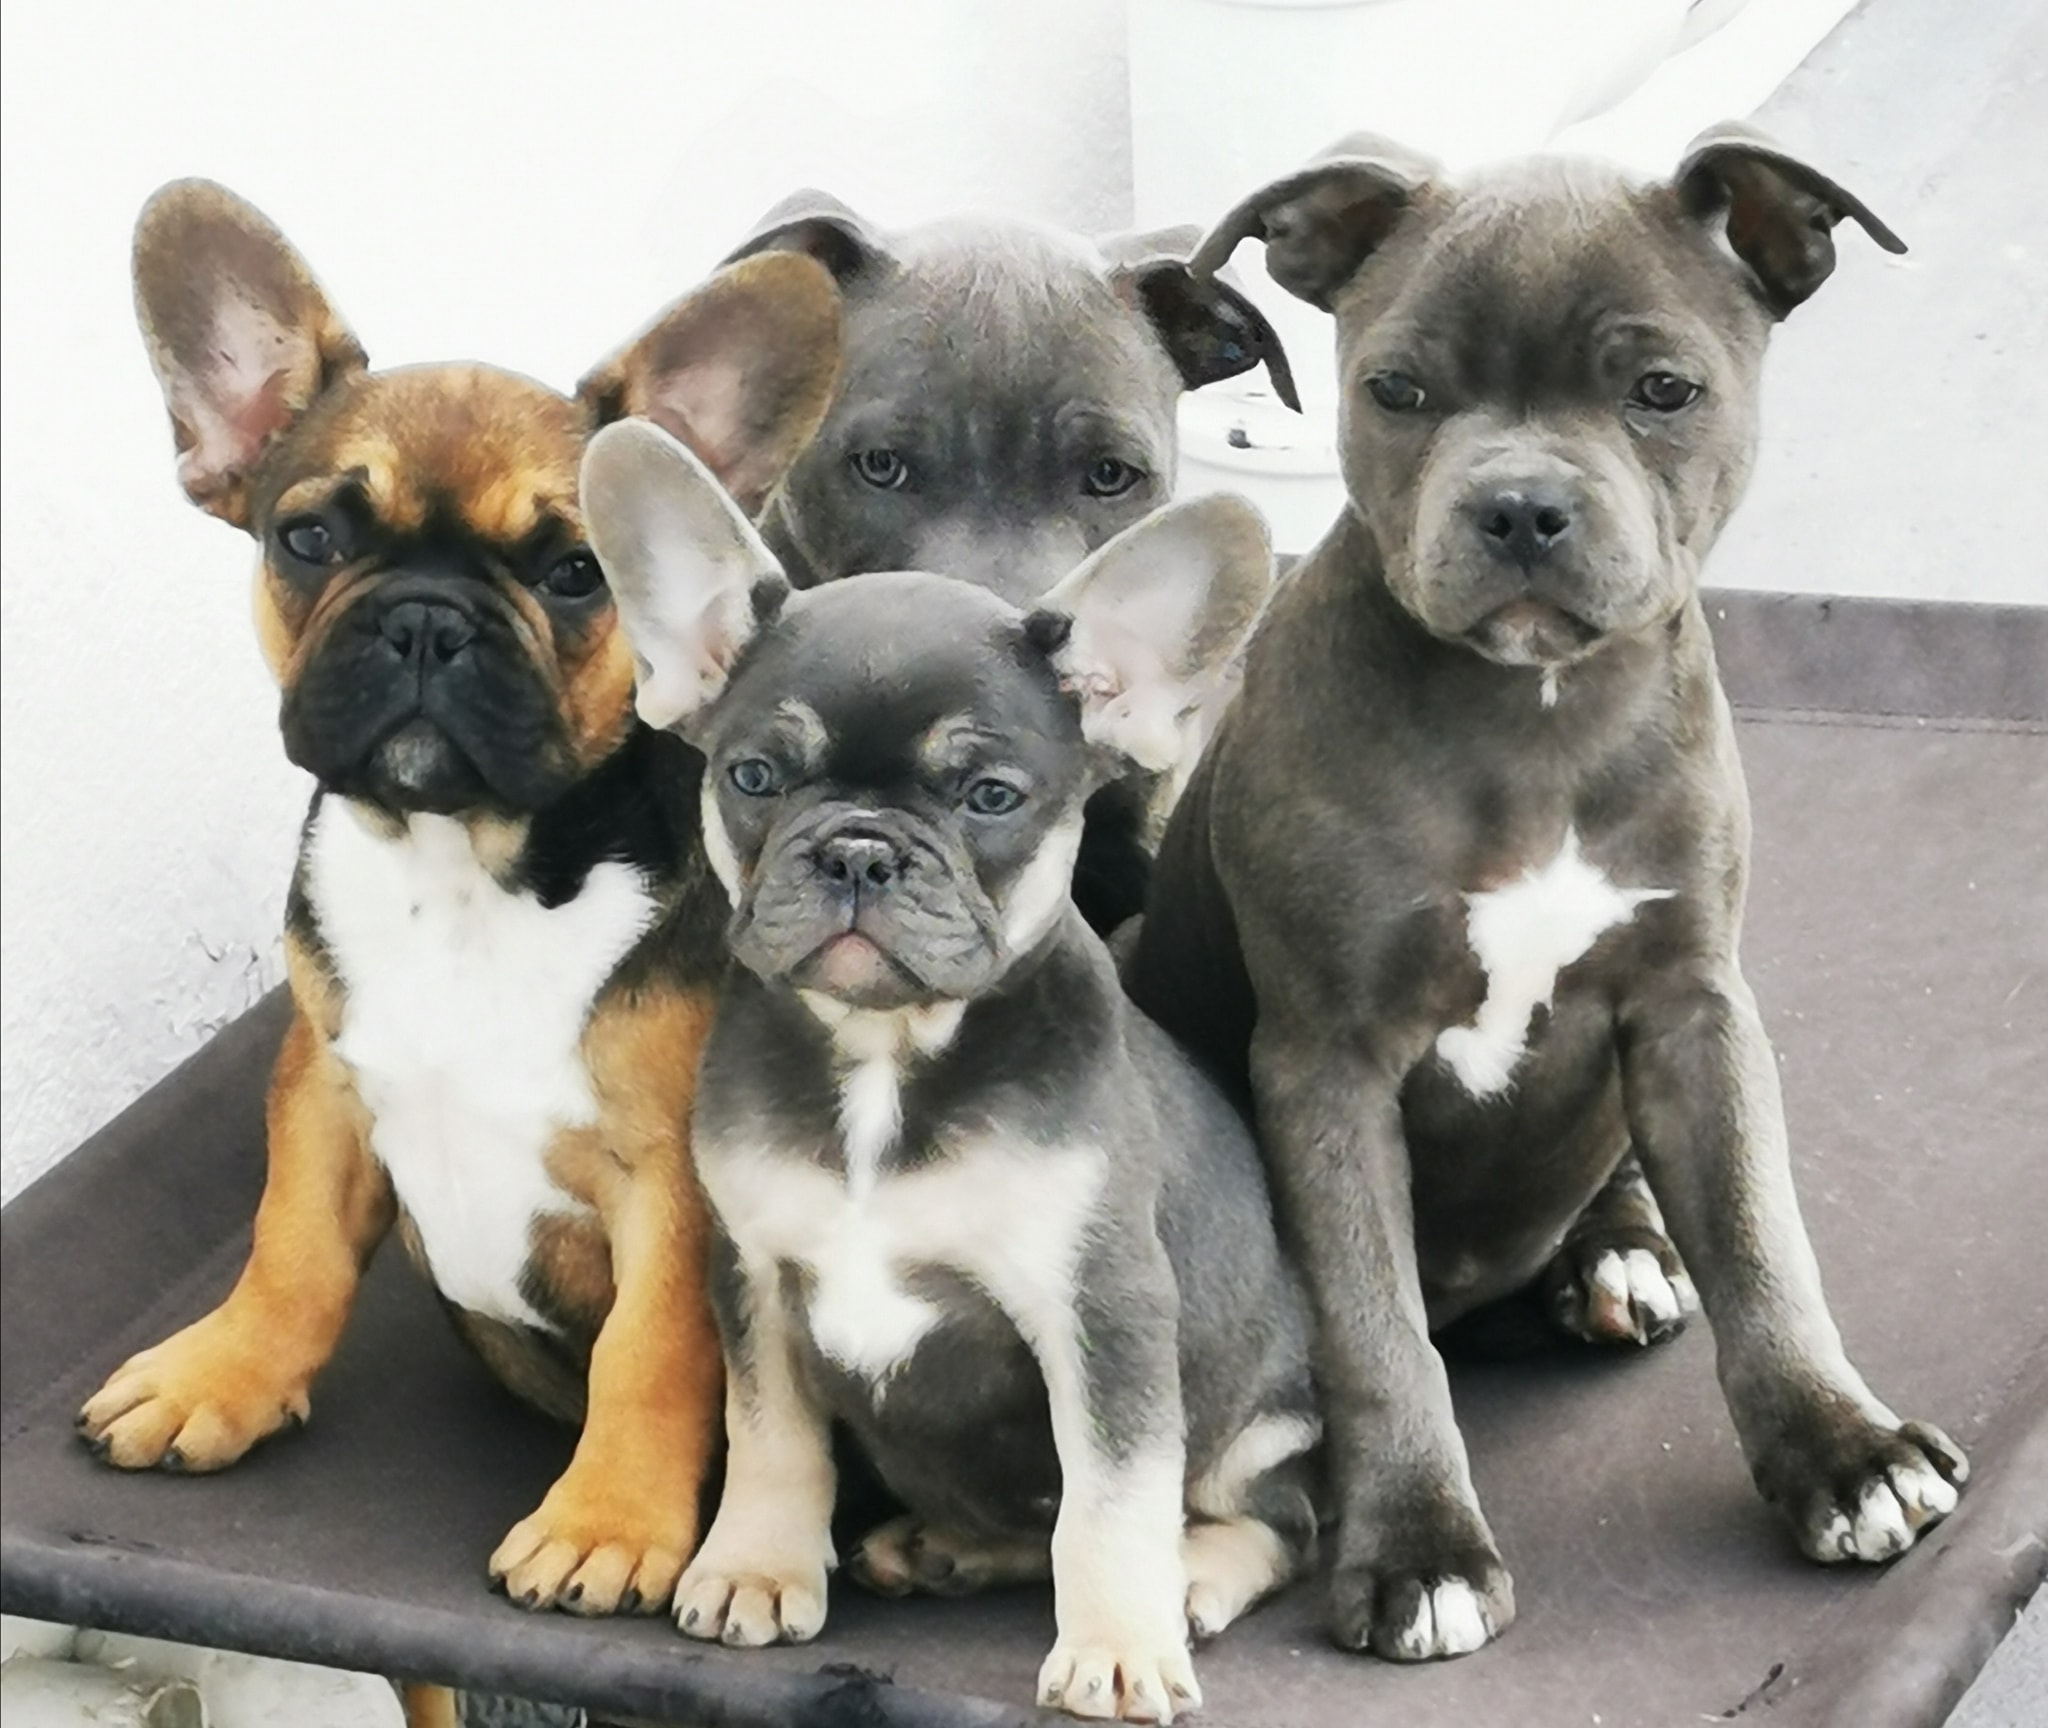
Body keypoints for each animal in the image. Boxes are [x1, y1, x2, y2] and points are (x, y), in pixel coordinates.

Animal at [72, 179, 839, 1621]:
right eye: (309, 536)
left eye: (574, 572)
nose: (426, 619)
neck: (463, 866)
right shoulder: (321, 1078)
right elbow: (290, 1245)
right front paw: (223, 1373)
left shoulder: (675, 1182)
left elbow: (651, 1349)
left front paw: (605, 1521)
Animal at [577, 421, 1318, 1728]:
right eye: (754, 778)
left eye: (988, 797)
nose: (859, 849)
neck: (882, 1060)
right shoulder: (753, 1275)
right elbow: (771, 1436)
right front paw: (755, 1564)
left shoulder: (1101, 1306)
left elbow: (1112, 1495)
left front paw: (1116, 1642)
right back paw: (945, 1547)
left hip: (1260, 1424)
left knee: (1268, 1520)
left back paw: (1189, 1578)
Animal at [1122, 121, 1966, 1662]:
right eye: (1396, 390)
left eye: (1661, 391)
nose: (1519, 506)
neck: (1535, 717)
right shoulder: (1326, 1065)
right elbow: (1374, 1326)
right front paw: (1418, 1546)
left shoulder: (1694, 1007)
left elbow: (1761, 1242)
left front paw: (1843, 1452)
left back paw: (1621, 1250)